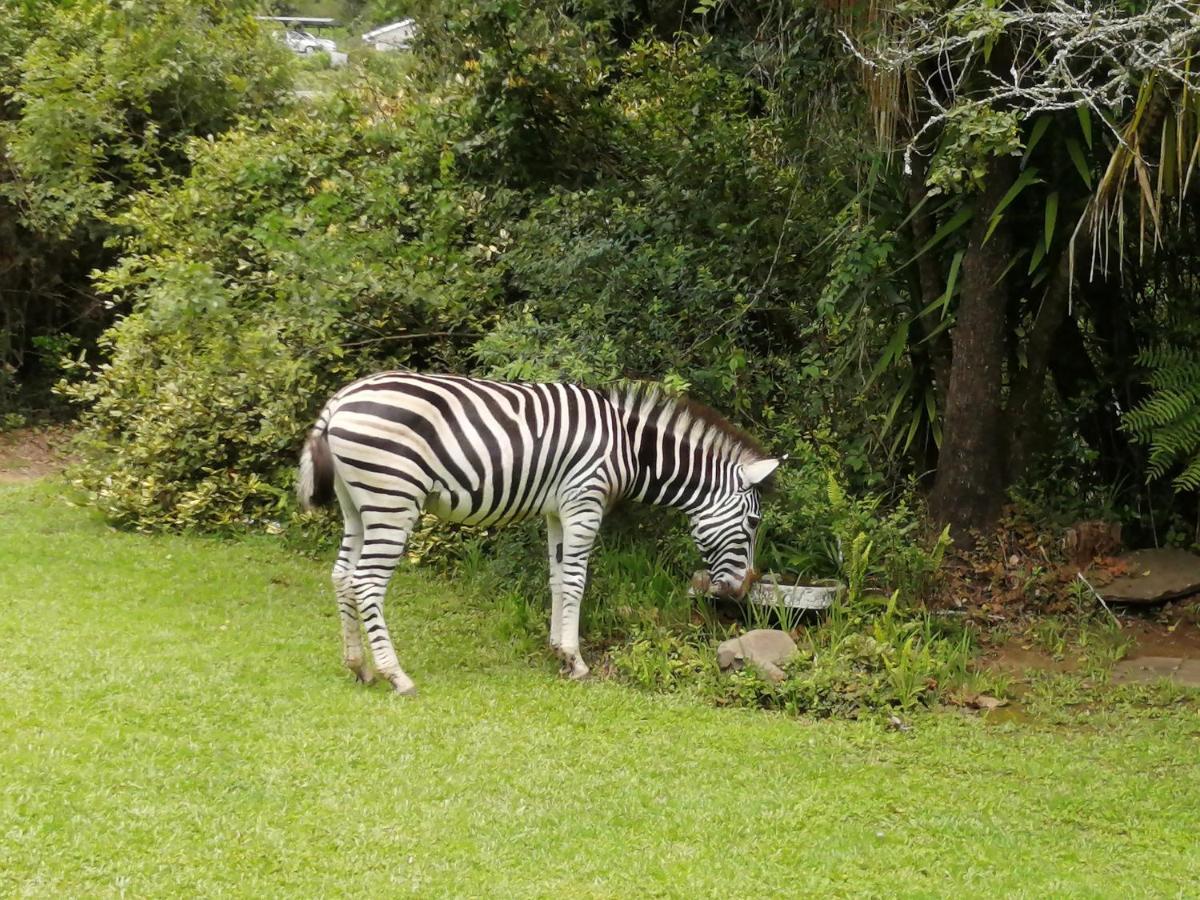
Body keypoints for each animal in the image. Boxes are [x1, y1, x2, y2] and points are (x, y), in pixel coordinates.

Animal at [300, 369, 777, 696]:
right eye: (753, 523)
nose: (742, 592)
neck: (628, 448)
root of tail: (338, 401)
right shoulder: (584, 502)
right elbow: (577, 582)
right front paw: (577, 660)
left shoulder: (557, 511)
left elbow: (557, 579)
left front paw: (558, 652)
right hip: (392, 499)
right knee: (367, 582)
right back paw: (396, 675)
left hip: (355, 505)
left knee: (342, 576)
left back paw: (358, 666)